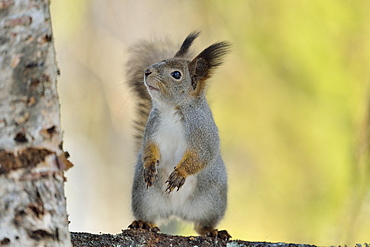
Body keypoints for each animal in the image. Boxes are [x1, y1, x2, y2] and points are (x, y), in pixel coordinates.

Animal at [127, 30, 231, 239]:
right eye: (160, 61)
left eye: (176, 74)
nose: (147, 71)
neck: (171, 109)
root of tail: (176, 211)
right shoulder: (152, 130)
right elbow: (148, 148)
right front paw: (150, 165)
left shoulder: (203, 133)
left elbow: (200, 156)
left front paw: (179, 174)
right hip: (145, 197)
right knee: (151, 216)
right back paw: (144, 223)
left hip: (211, 202)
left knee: (201, 225)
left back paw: (211, 231)